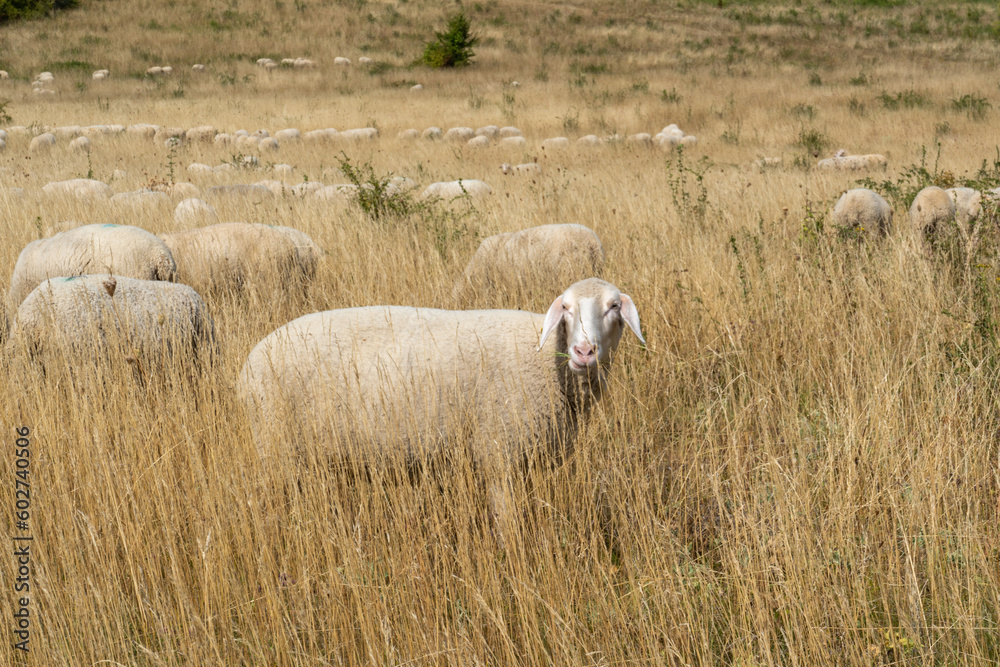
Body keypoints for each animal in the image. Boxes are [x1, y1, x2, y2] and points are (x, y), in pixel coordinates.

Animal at [237, 278, 644, 473]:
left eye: (613, 307)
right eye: (566, 309)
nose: (583, 352)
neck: (547, 360)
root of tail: (250, 359)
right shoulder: (500, 454)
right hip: (273, 444)